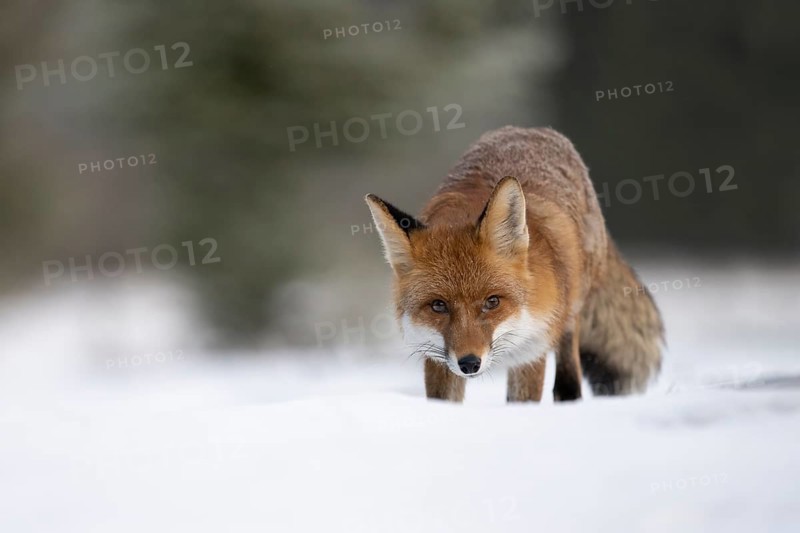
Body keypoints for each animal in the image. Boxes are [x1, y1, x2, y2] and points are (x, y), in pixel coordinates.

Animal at [364, 126, 664, 402]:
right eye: (438, 305)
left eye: (492, 302)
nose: (470, 363)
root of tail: (530, 130)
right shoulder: (436, 355)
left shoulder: (531, 350)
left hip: (570, 317)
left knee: (568, 378)